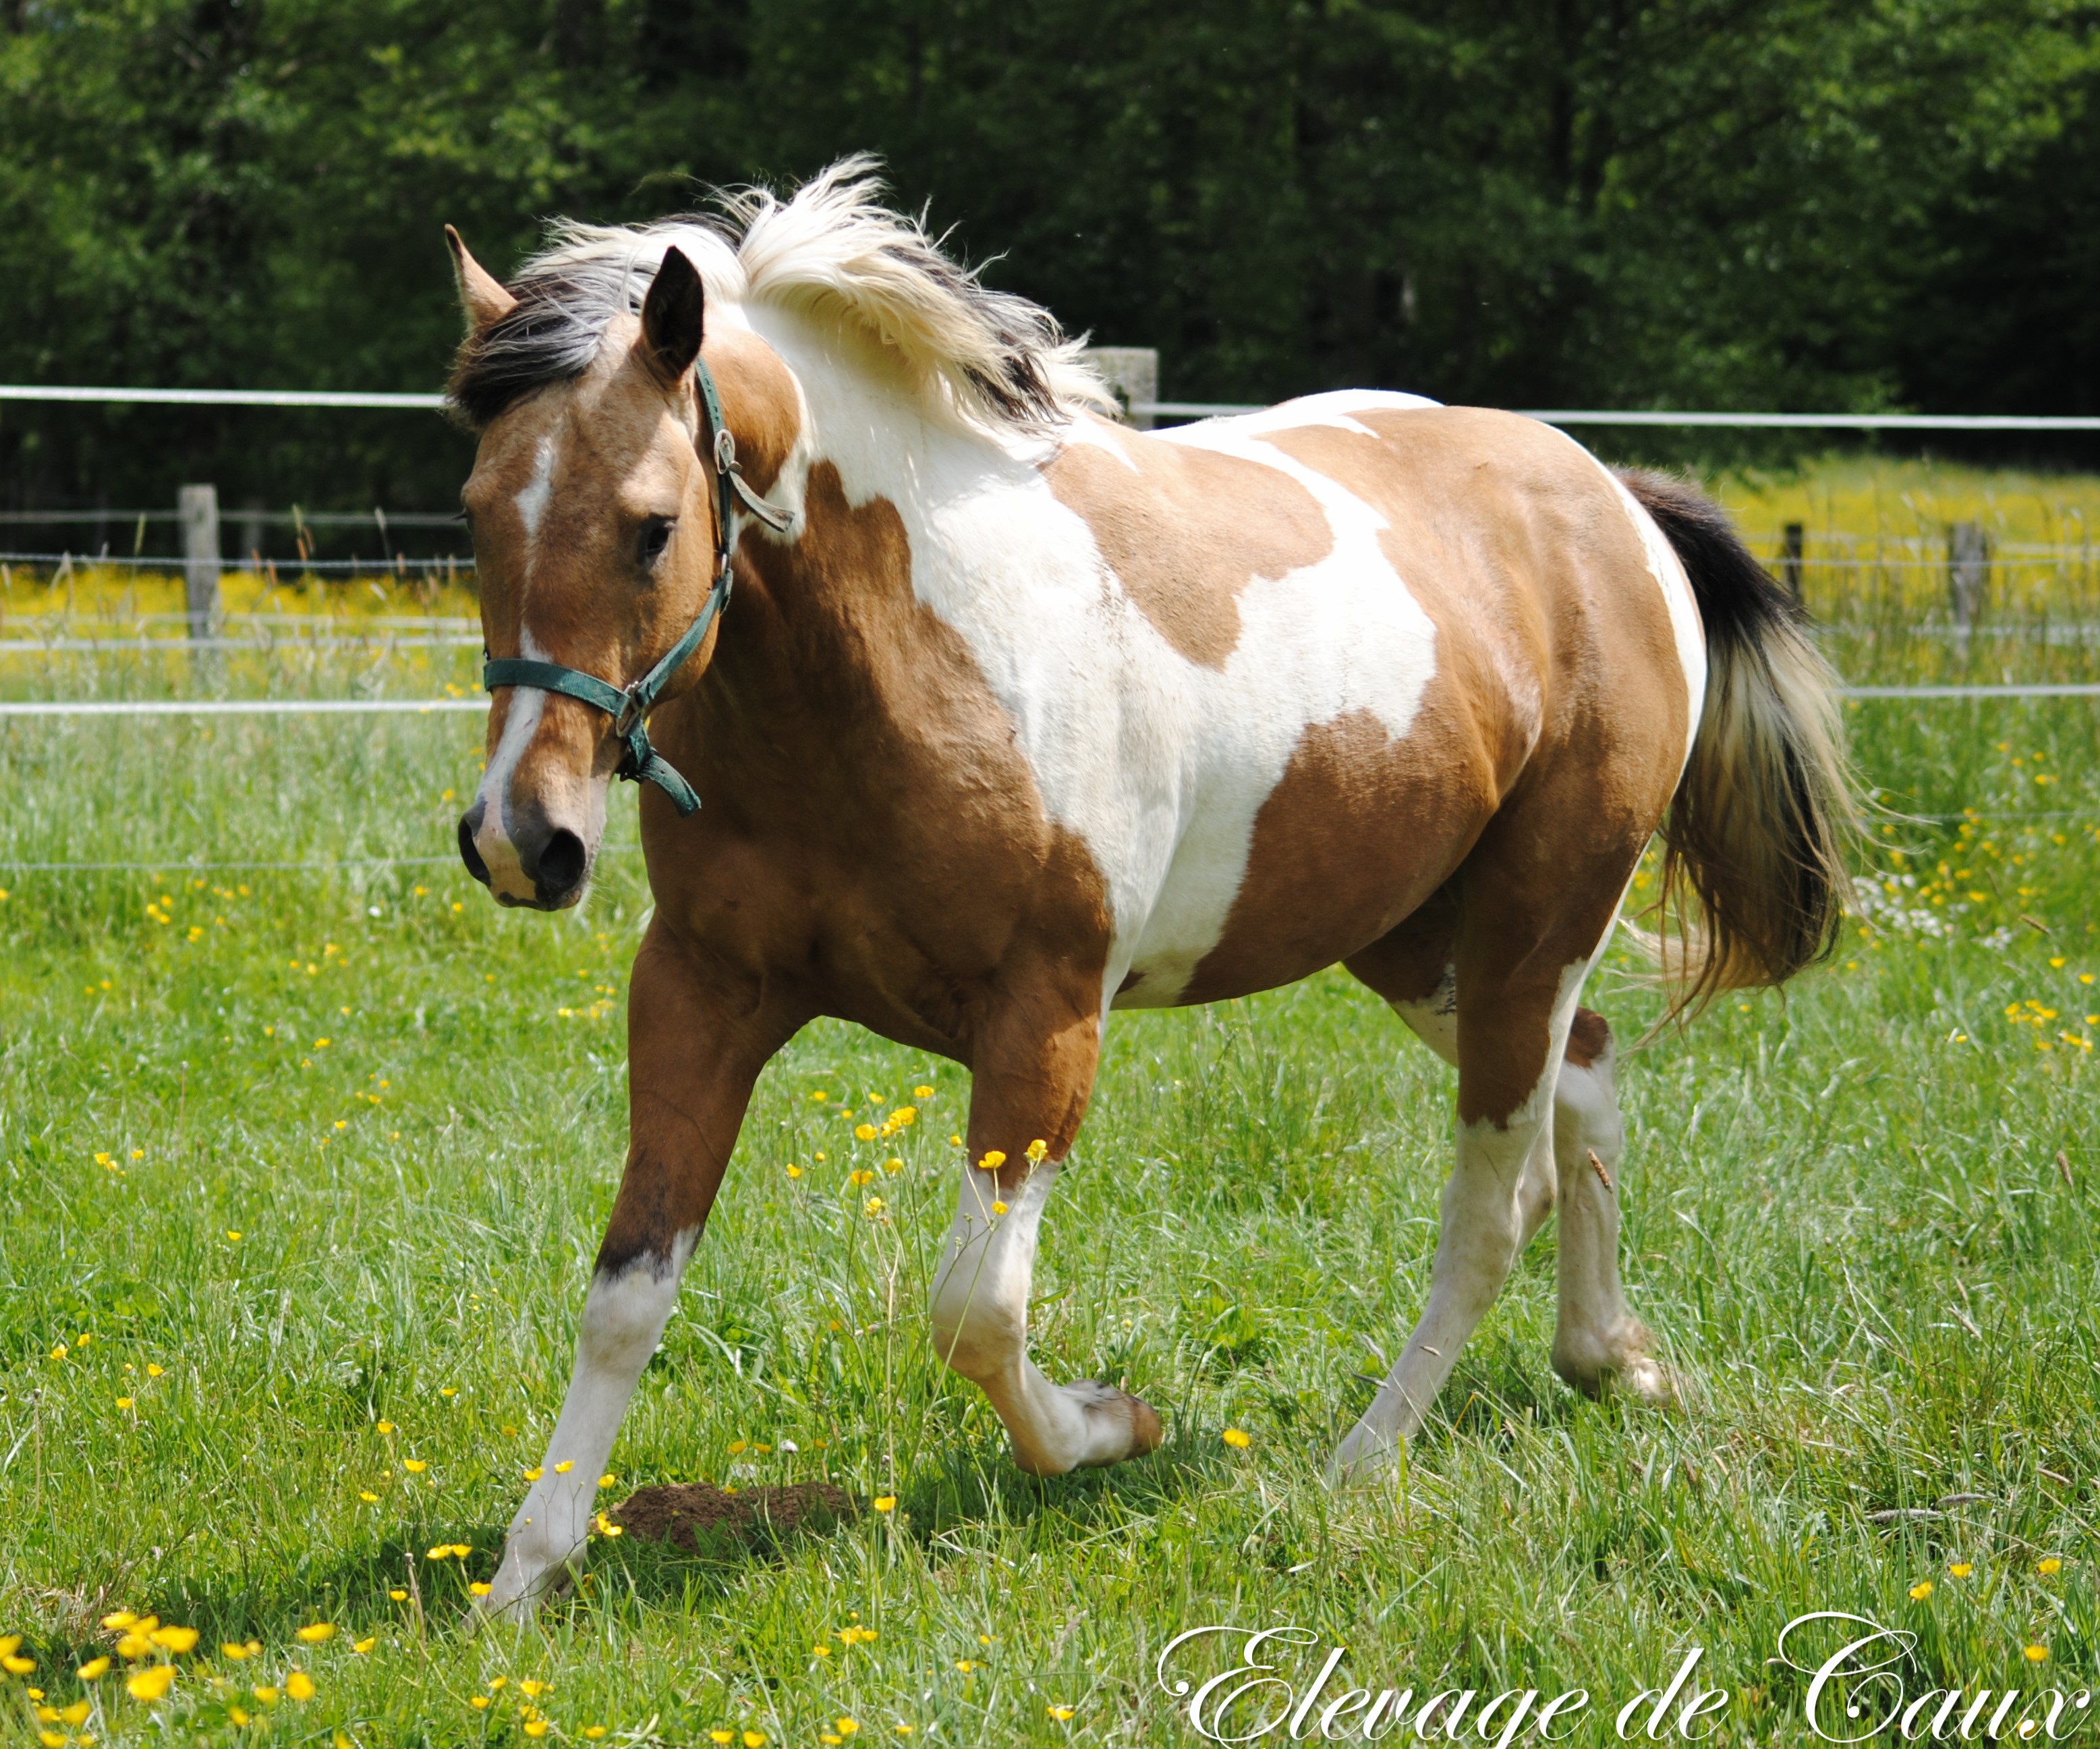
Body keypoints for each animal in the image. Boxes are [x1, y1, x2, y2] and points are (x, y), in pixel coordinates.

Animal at [445, 160, 1855, 1612]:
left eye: (651, 527)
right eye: (477, 515)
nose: (521, 840)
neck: (910, 664)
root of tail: (1613, 501)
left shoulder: (1044, 1022)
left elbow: (975, 1310)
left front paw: (1114, 1427)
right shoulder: (700, 991)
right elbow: (627, 1290)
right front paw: (522, 1576)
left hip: (1539, 920)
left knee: (1486, 1202)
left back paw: (1363, 1457)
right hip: (1418, 941)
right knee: (1580, 1086)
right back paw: (1608, 1358)